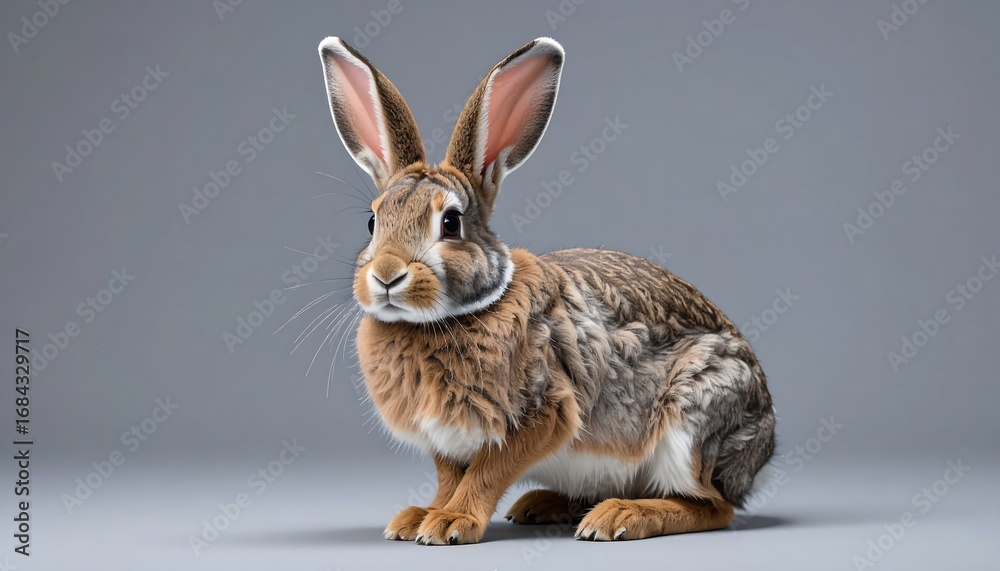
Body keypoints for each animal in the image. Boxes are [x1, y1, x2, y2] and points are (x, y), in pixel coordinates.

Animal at [317, 35, 776, 544]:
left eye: (451, 223)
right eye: (373, 221)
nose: (386, 275)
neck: (447, 318)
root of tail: (761, 451)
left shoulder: (545, 411)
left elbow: (486, 473)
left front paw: (452, 524)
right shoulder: (444, 441)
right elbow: (450, 478)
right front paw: (420, 517)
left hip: (693, 420)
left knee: (713, 507)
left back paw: (619, 517)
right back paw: (544, 505)